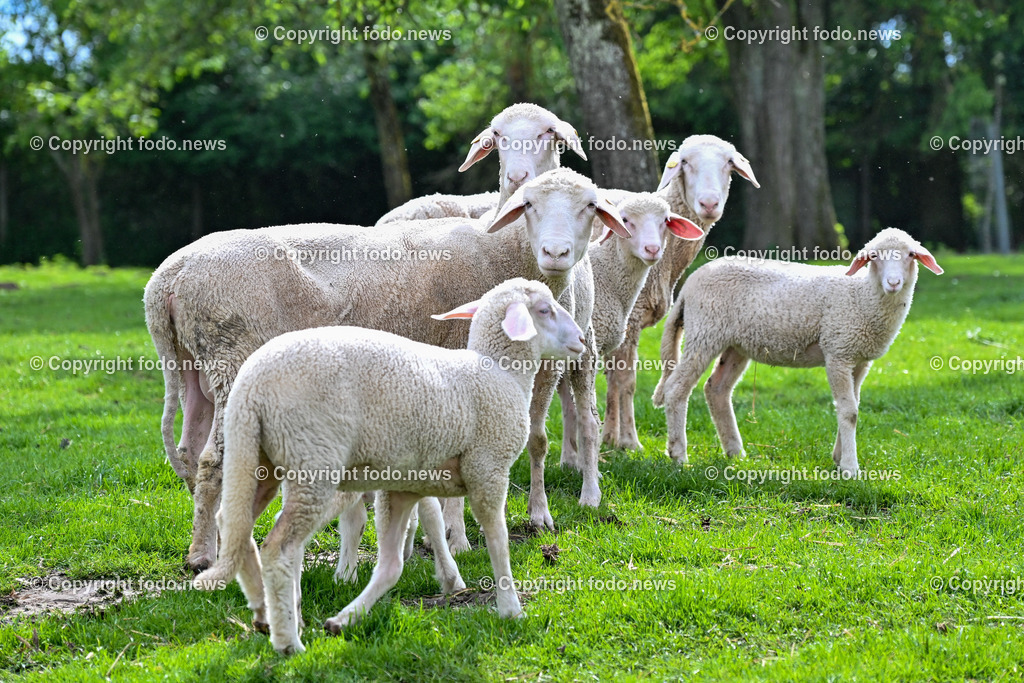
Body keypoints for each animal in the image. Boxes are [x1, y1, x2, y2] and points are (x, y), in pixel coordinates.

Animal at [144, 167, 627, 572]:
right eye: (528, 204)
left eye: (590, 205)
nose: (555, 253)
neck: (506, 254)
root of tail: (168, 276)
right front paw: (460, 536)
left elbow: (535, 440)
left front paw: (526, 518)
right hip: (232, 357)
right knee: (213, 460)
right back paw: (204, 556)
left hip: (195, 368)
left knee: (190, 453)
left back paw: (211, 540)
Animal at [194, 278, 587, 655]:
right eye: (545, 310)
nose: (582, 340)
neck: (502, 373)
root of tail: (251, 386)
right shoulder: (487, 468)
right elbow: (498, 541)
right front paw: (511, 608)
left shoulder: (405, 486)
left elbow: (393, 564)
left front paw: (345, 619)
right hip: (314, 463)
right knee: (280, 548)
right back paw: (288, 641)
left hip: (257, 459)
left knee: (233, 523)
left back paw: (264, 612)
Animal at [554, 193, 705, 469]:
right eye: (625, 220)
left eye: (665, 221)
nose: (652, 250)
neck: (609, 277)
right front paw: (585, 459)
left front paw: (570, 460)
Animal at [601, 135, 759, 451]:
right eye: (684, 162)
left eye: (729, 162)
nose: (709, 203)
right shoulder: (629, 314)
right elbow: (626, 380)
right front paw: (629, 441)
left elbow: (613, 379)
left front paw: (609, 438)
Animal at [651, 228, 943, 474]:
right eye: (874, 257)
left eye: (911, 255)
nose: (893, 283)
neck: (862, 296)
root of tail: (688, 286)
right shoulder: (838, 352)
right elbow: (848, 411)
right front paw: (850, 467)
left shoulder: (859, 359)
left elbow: (853, 406)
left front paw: (839, 458)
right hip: (705, 332)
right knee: (676, 388)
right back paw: (679, 455)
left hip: (735, 344)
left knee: (716, 389)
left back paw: (736, 452)